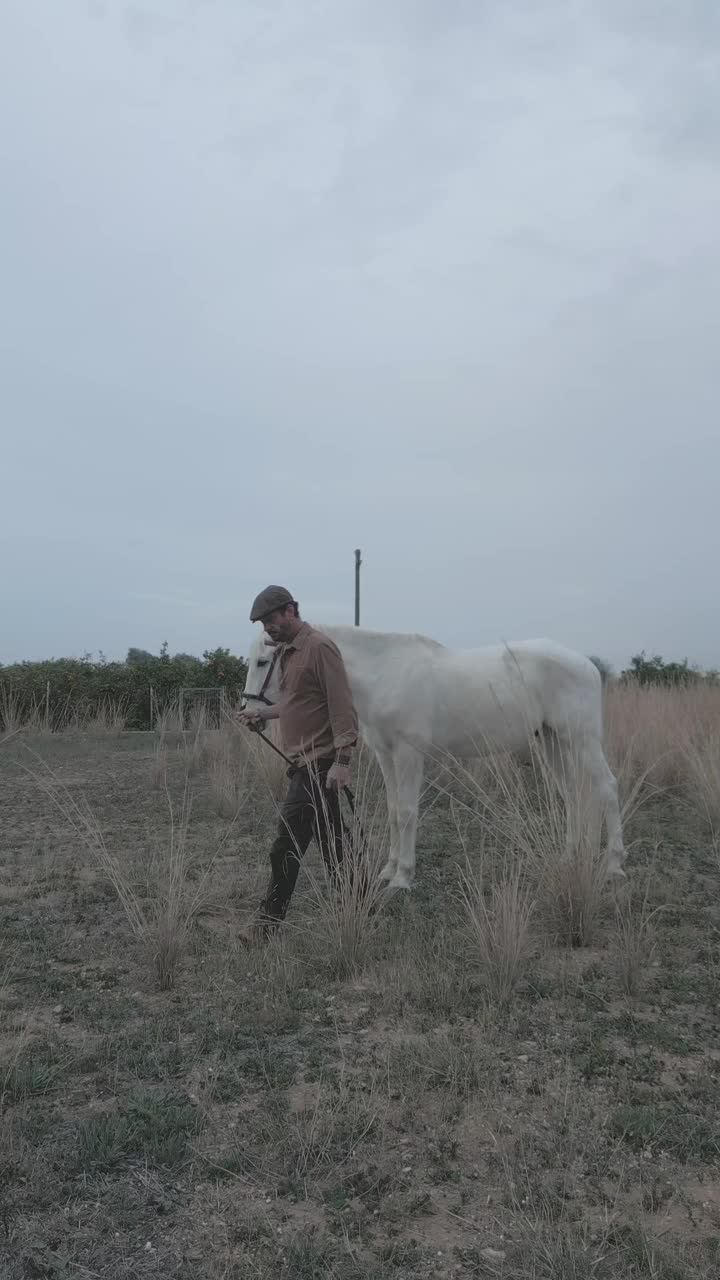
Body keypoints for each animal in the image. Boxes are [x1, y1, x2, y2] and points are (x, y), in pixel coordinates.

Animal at [240, 622, 622, 890]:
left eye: (262, 661)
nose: (247, 713)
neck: (384, 673)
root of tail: (587, 665)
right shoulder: (386, 756)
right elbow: (394, 811)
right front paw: (389, 870)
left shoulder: (409, 754)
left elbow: (407, 812)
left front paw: (403, 877)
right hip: (553, 743)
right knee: (574, 794)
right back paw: (572, 856)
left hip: (582, 740)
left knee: (606, 789)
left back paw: (614, 865)